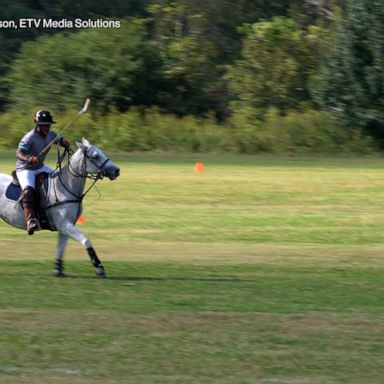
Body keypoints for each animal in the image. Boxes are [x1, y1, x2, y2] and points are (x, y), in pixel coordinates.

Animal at [0, 140, 120, 278]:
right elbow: (86, 240)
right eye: (95, 156)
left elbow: (61, 248)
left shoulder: (65, 226)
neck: (66, 187)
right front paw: (99, 268)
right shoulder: (64, 224)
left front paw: (58, 270)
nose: (117, 170)